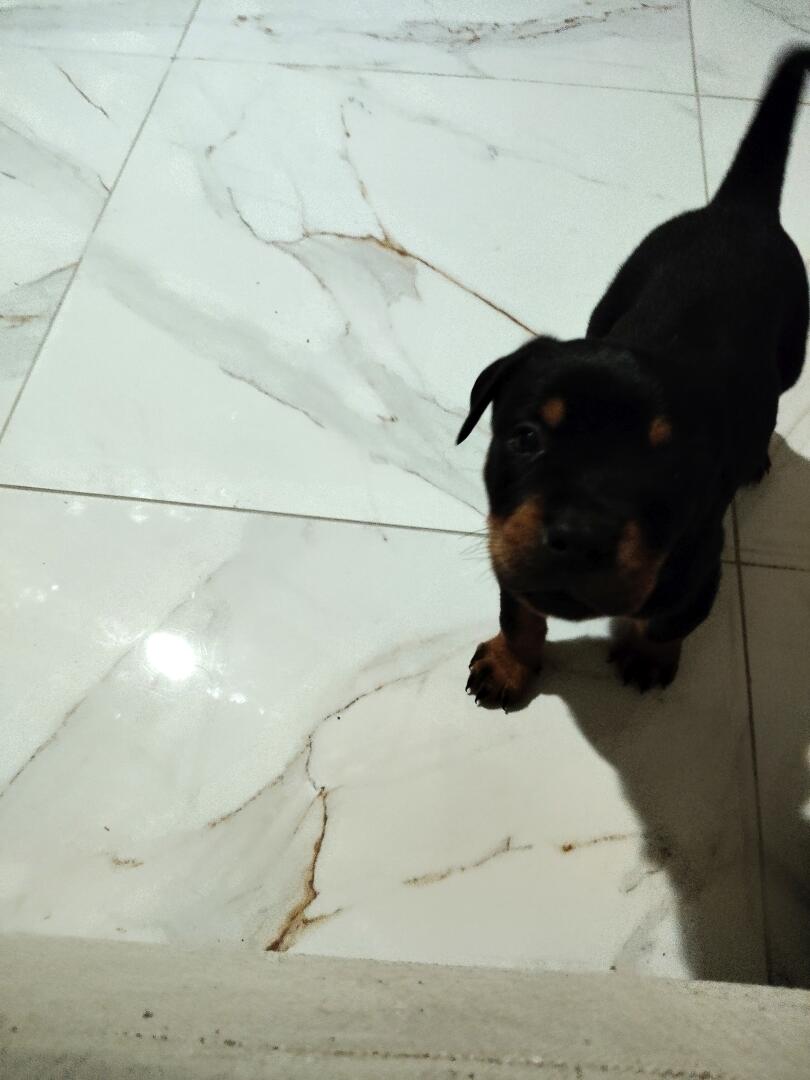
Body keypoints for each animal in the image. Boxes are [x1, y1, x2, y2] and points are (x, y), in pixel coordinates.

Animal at [458, 47, 810, 707]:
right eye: (525, 439)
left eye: (669, 467)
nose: (580, 536)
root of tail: (738, 208)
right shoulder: (510, 556)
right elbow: (519, 611)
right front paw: (510, 664)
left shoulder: (697, 568)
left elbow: (668, 620)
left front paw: (648, 656)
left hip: (793, 348)